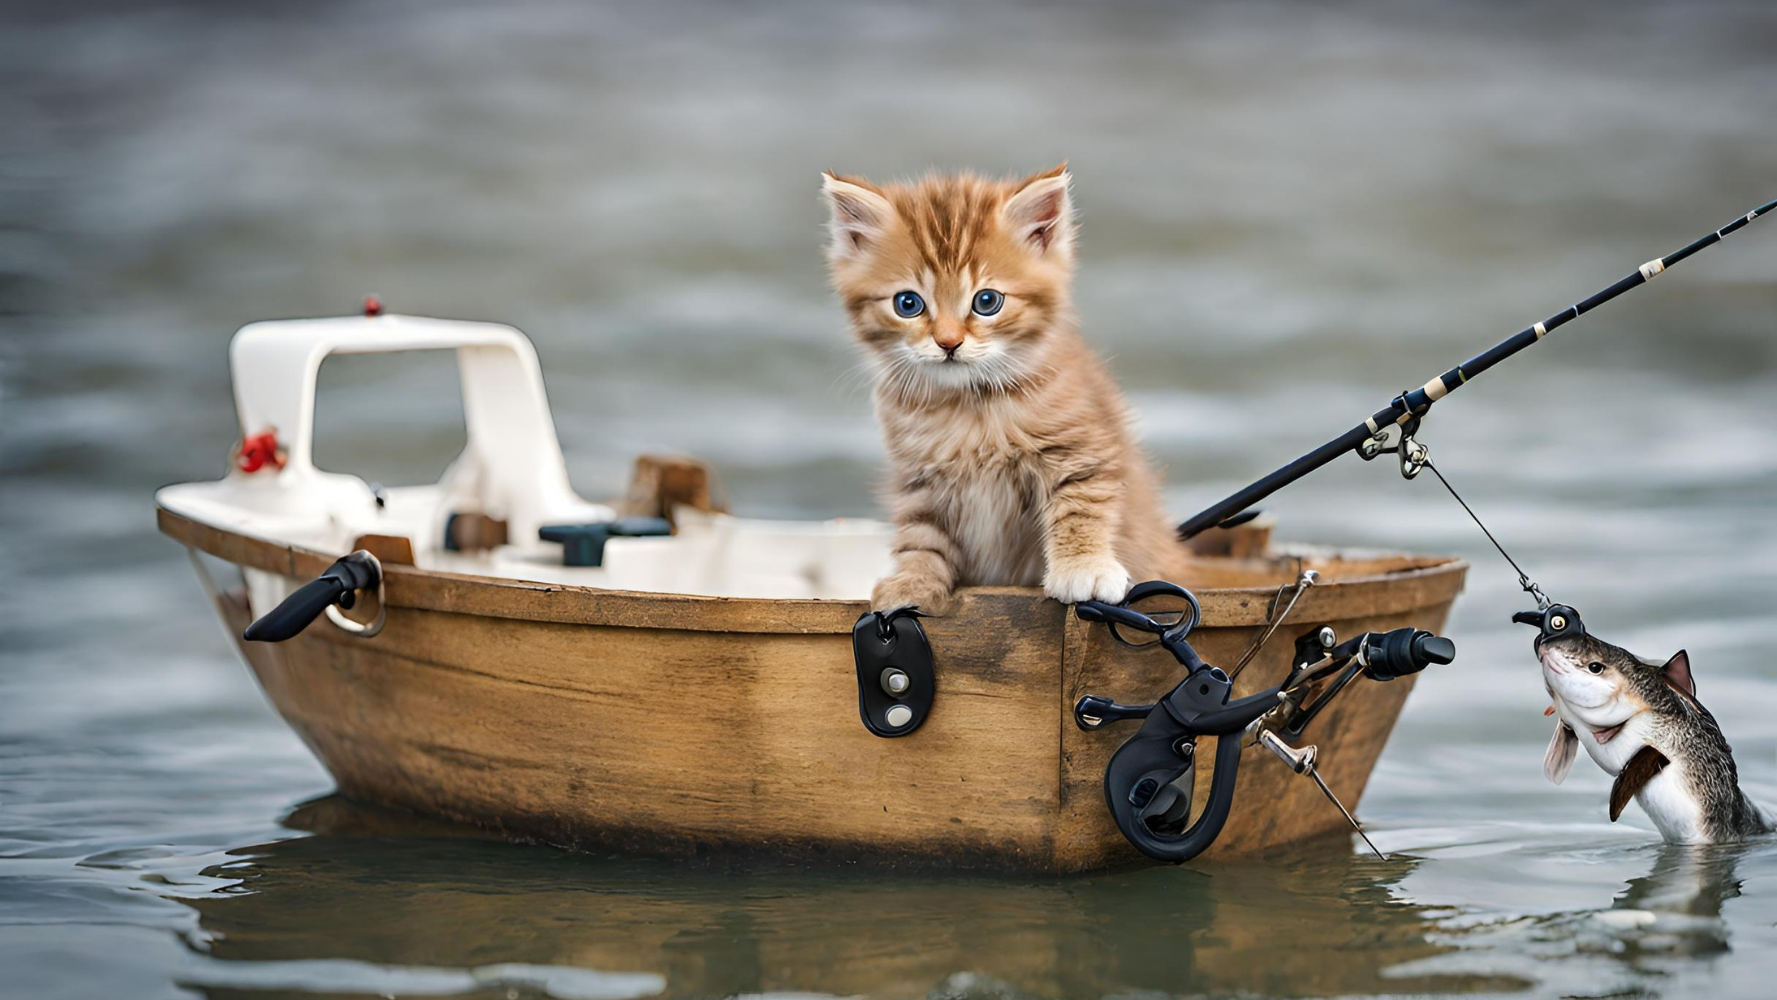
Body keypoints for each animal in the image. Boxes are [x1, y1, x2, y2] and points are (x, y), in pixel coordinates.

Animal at [820, 164, 1187, 614]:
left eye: (987, 302)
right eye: (908, 304)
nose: (948, 343)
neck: (969, 405)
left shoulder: (1080, 447)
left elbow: (1081, 506)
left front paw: (1083, 566)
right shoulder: (919, 479)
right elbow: (922, 534)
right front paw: (914, 579)